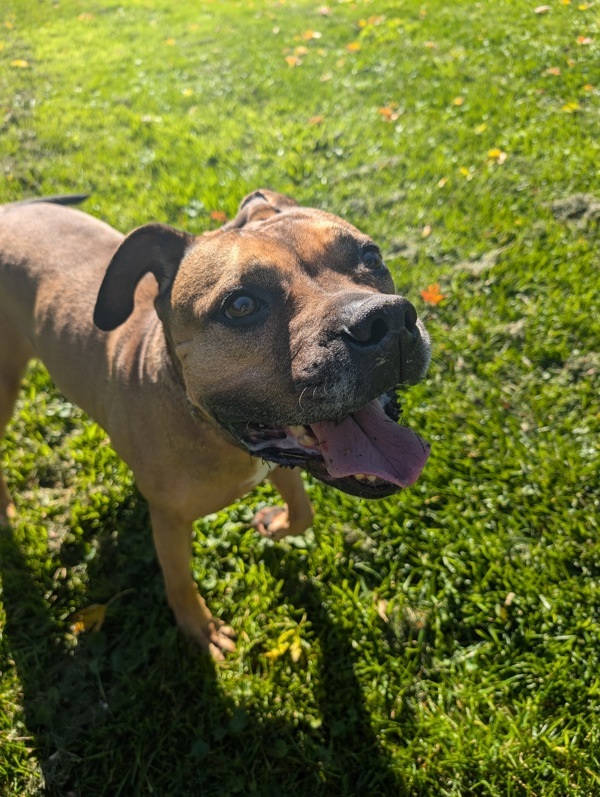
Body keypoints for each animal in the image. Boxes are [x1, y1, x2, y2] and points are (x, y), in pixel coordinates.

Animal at [0, 190, 432, 656]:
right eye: (240, 305)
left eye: (370, 256)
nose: (386, 319)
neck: (213, 431)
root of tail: (13, 208)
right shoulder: (170, 522)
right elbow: (179, 582)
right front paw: (202, 632)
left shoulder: (279, 456)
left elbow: (303, 511)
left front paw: (276, 526)